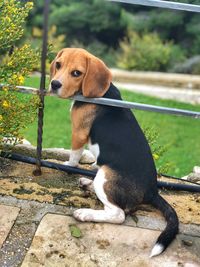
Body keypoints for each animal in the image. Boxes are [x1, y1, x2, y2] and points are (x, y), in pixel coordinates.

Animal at [49, 47, 178, 258]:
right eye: (58, 65)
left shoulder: (79, 133)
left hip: (106, 175)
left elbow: (74, 155)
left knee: (118, 214)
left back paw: (85, 213)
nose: (54, 84)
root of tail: (152, 191)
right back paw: (87, 183)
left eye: (76, 73)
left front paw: (68, 166)